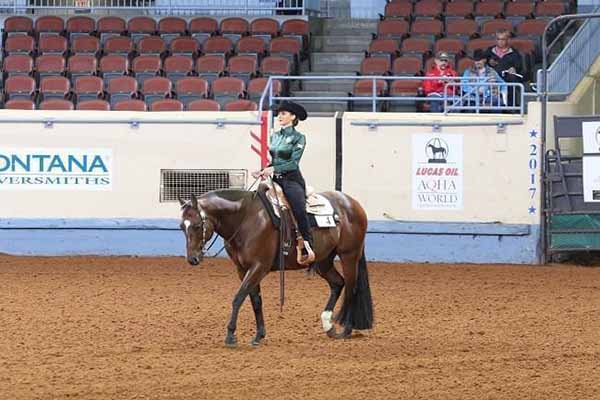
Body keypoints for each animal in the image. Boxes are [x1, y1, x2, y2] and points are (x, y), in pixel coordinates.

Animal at [179, 188, 376, 346]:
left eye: (197, 225)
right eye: (182, 226)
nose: (192, 258)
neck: (245, 219)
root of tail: (353, 204)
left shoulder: (259, 266)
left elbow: (238, 297)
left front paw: (230, 335)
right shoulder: (243, 269)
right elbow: (255, 300)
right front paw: (258, 335)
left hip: (349, 255)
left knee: (351, 288)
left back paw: (346, 330)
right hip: (324, 261)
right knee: (338, 283)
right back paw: (328, 325)